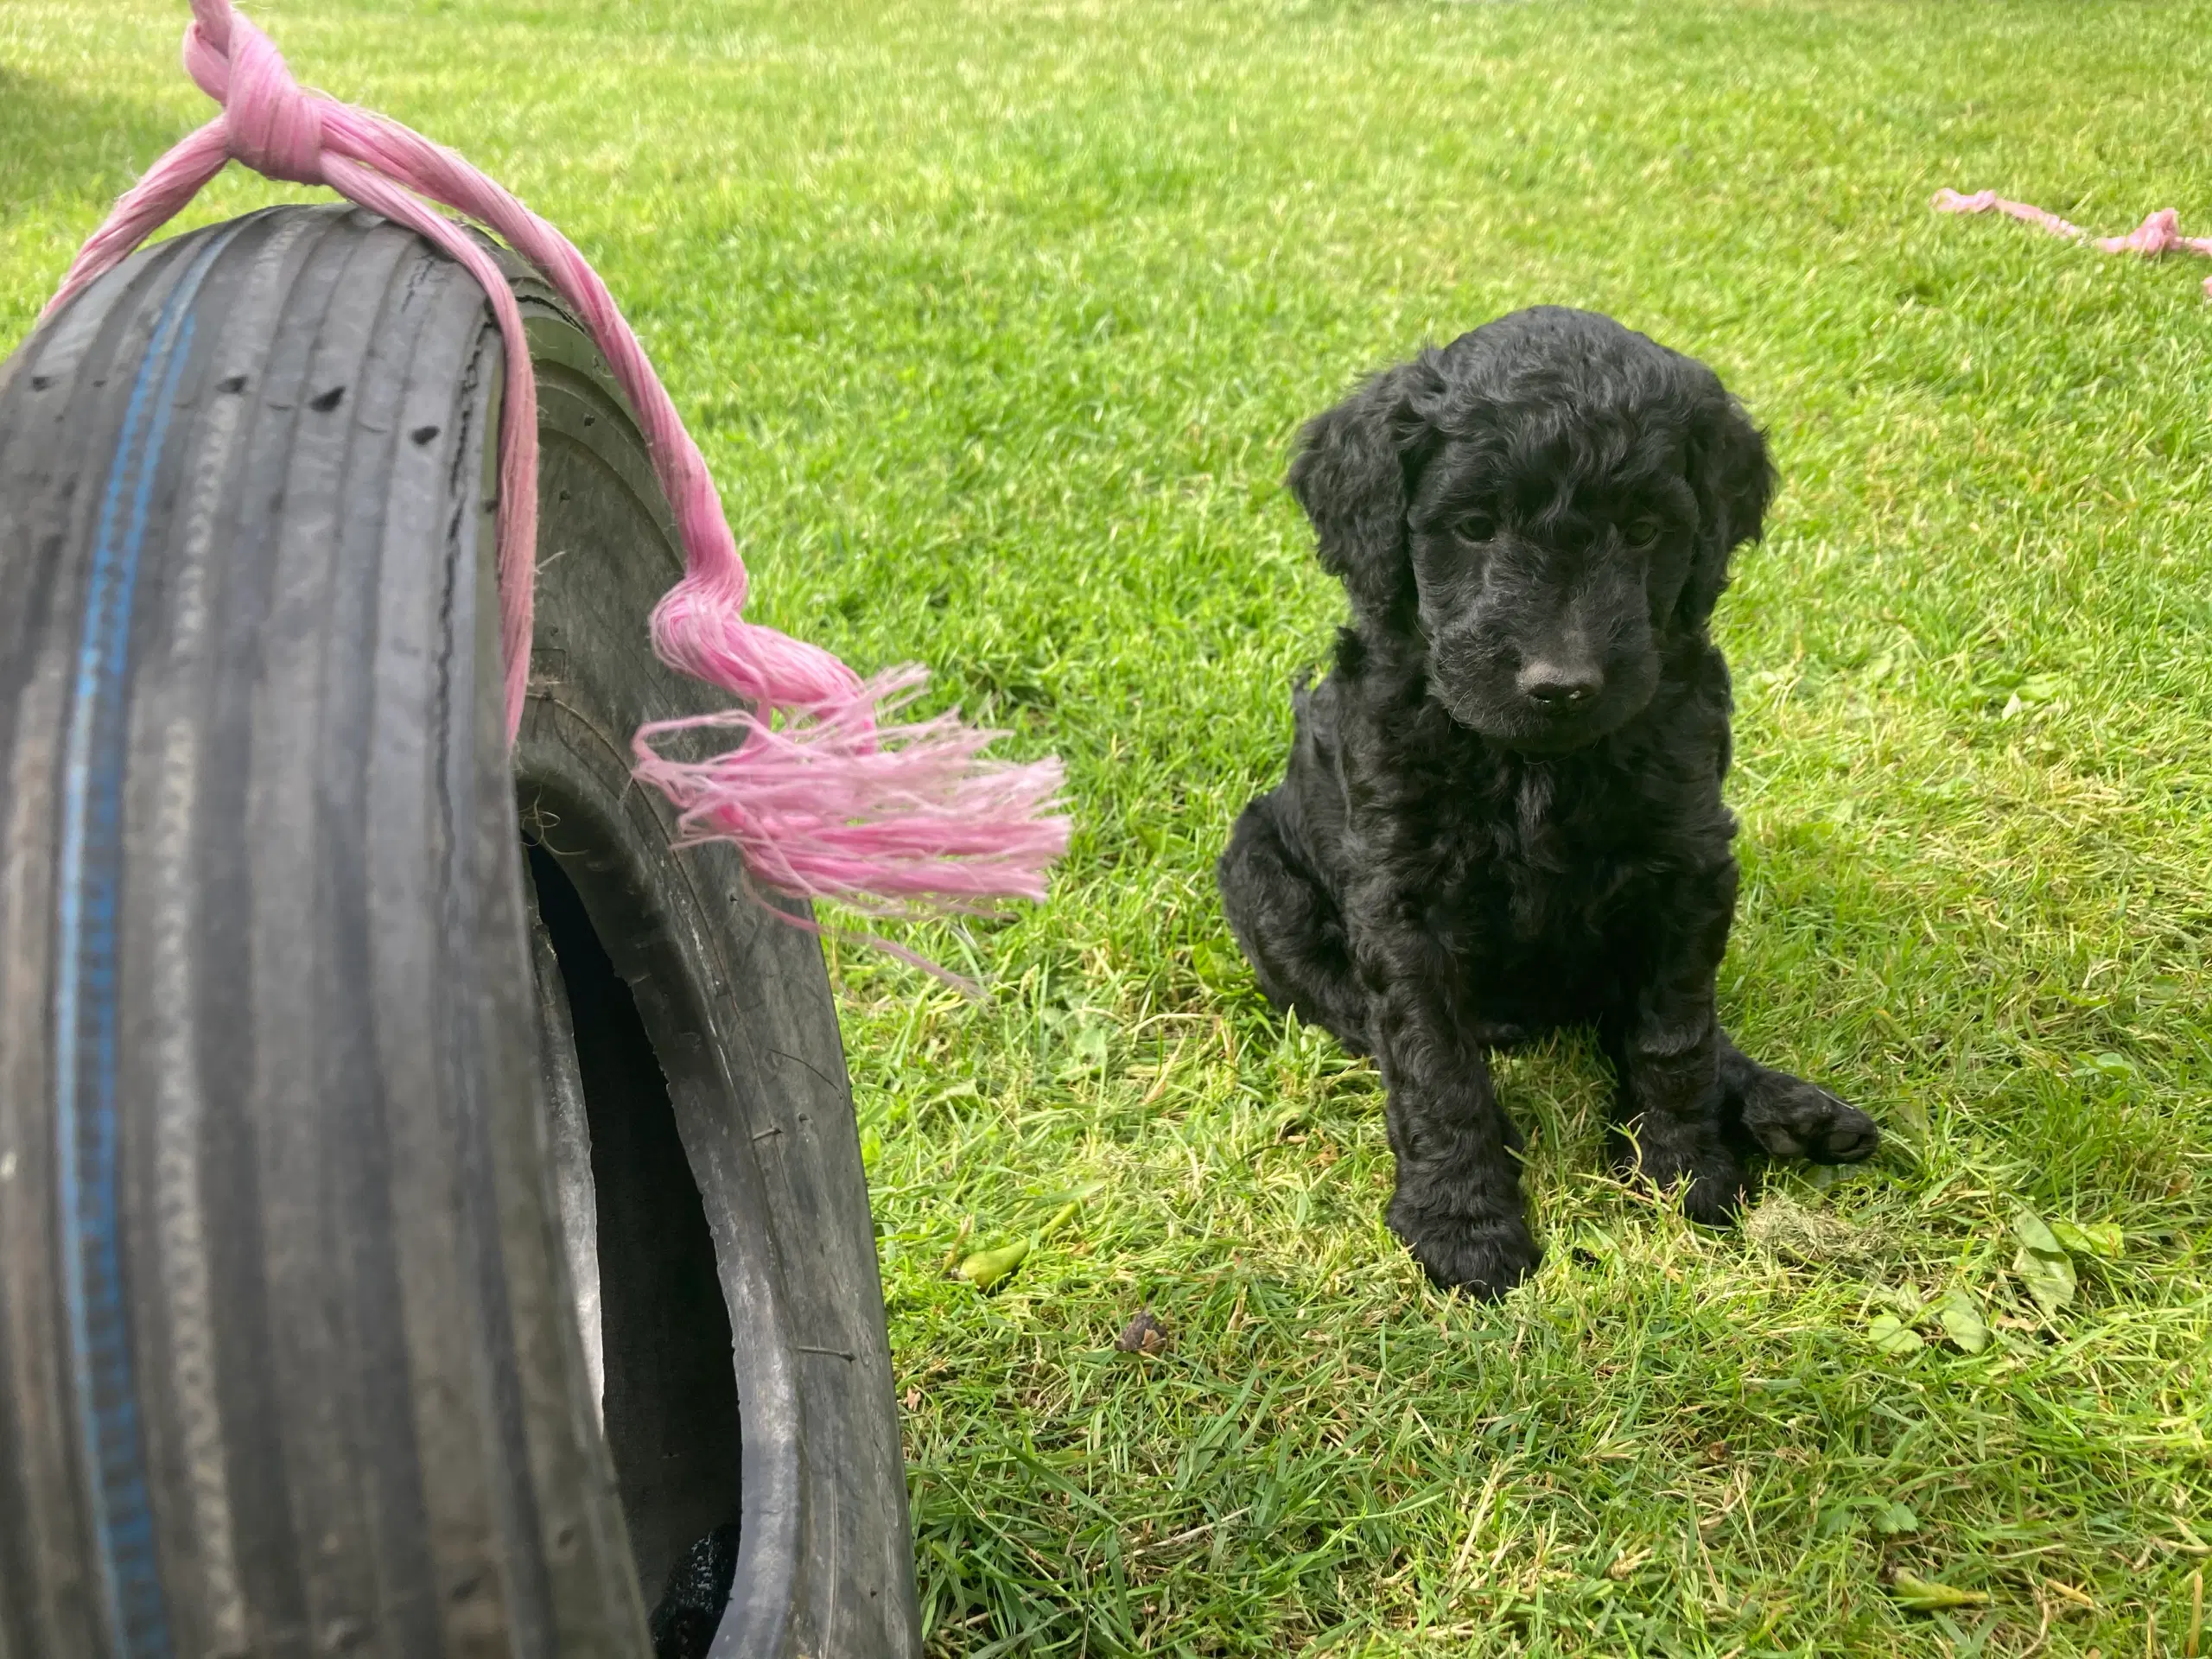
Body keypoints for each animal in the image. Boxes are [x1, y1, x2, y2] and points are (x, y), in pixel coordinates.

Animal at [1221, 311, 1875, 1300]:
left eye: (1643, 530)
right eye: (1473, 527)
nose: (1561, 685)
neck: (1537, 766)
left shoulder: (1688, 863)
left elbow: (1675, 1033)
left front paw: (1680, 1174)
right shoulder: (1399, 895)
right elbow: (1430, 1062)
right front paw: (1463, 1223)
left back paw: (1788, 1111)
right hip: (1259, 871)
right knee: (1361, 1015)